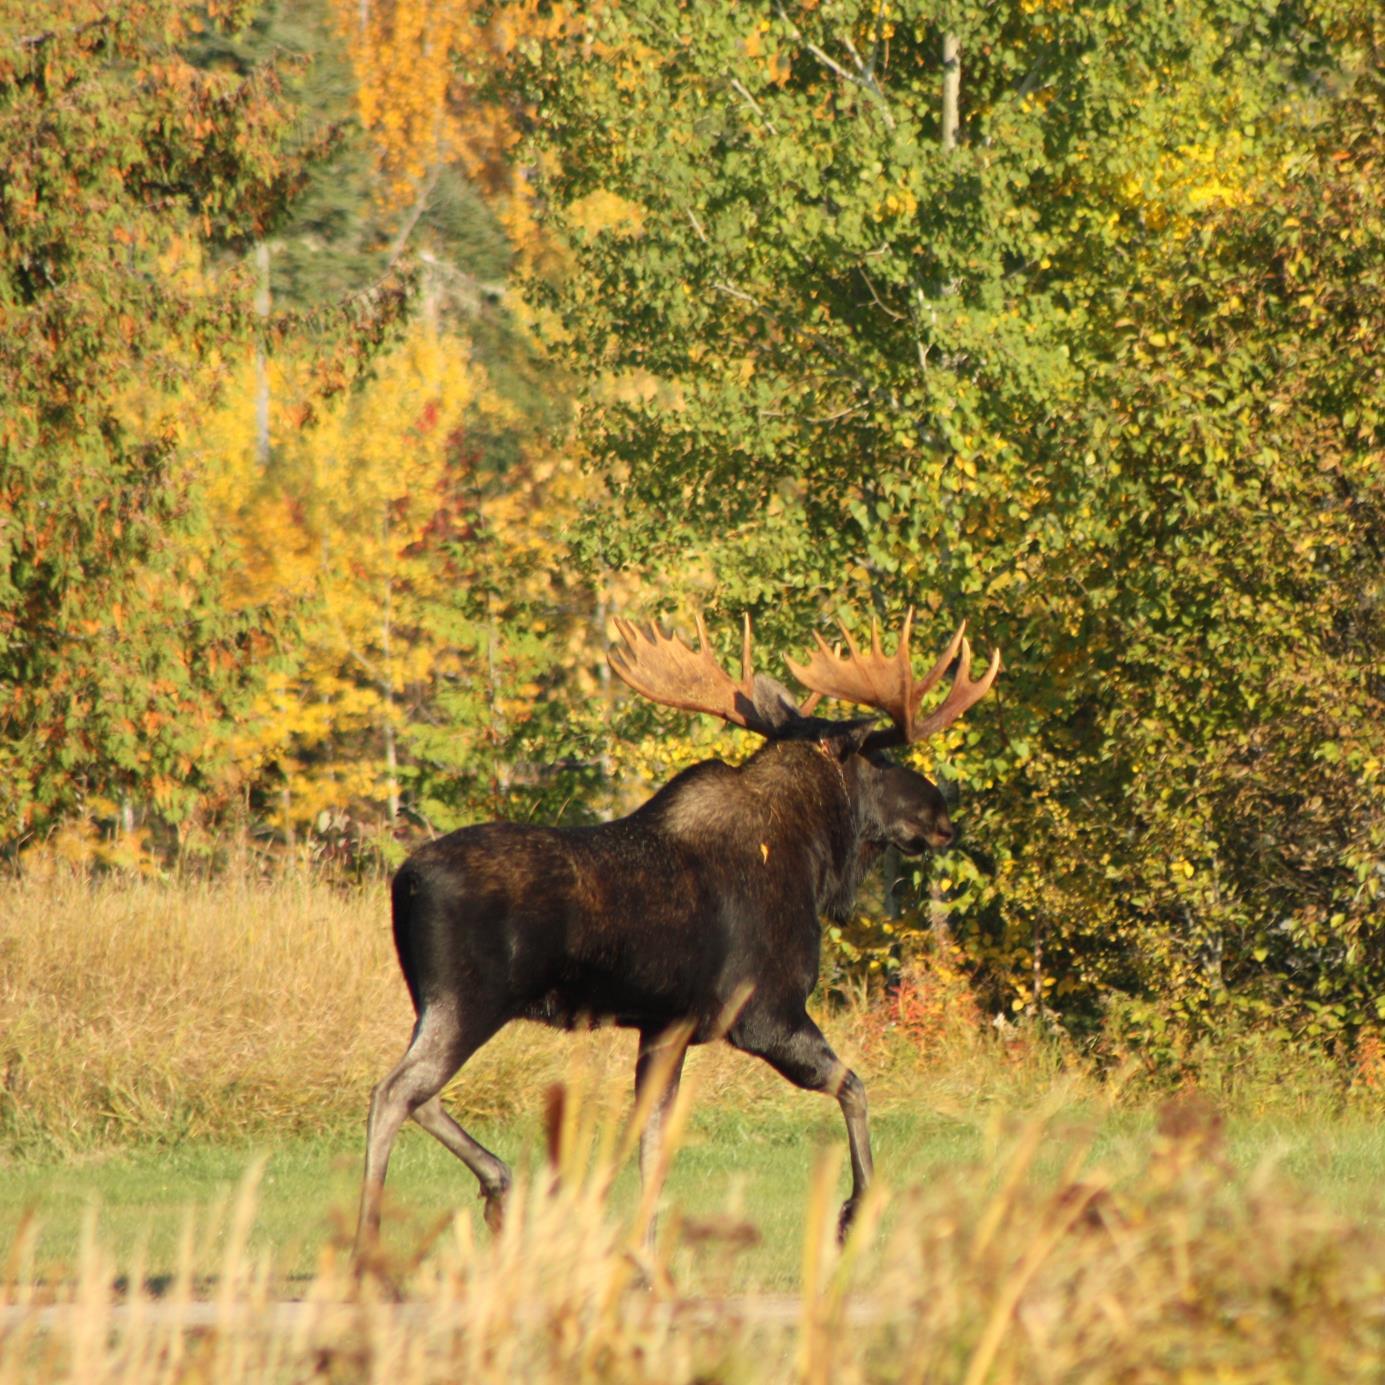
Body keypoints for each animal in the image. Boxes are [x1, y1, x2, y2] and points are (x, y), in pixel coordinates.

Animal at [357, 612, 1002, 1252]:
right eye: (880, 760)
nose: (941, 816)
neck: (814, 863)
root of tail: (405, 880)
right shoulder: (764, 1013)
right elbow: (854, 1087)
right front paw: (854, 1210)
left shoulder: (666, 1025)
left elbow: (650, 1143)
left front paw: (642, 1254)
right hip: (470, 998)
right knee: (395, 1091)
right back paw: (370, 1236)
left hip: (434, 1002)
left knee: (420, 1092)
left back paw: (499, 1184)